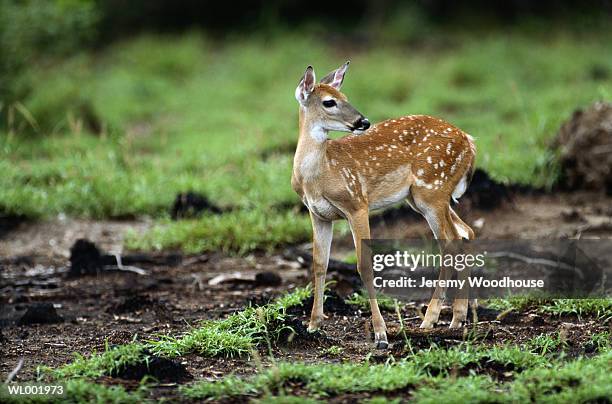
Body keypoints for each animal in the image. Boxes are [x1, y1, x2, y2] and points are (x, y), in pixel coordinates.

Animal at [292, 61, 478, 348]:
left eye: (345, 96)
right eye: (329, 102)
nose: (363, 122)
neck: (320, 174)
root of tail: (470, 141)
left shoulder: (357, 203)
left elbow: (364, 265)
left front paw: (380, 334)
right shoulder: (318, 214)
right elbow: (319, 264)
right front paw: (313, 325)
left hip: (432, 189)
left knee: (449, 242)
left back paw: (430, 320)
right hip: (425, 197)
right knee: (465, 232)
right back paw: (457, 319)